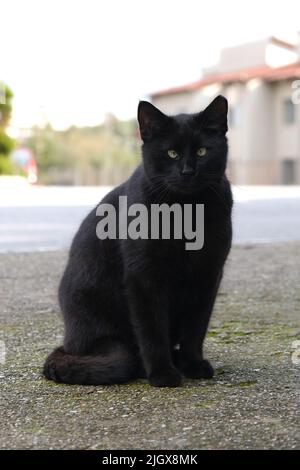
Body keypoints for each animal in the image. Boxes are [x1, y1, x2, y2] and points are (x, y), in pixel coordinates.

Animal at [43, 94, 233, 386]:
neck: (186, 212)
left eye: (203, 151)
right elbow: (152, 330)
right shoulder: (144, 277)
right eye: (171, 153)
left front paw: (193, 364)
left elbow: (196, 328)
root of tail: (68, 343)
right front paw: (162, 373)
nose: (187, 171)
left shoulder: (208, 274)